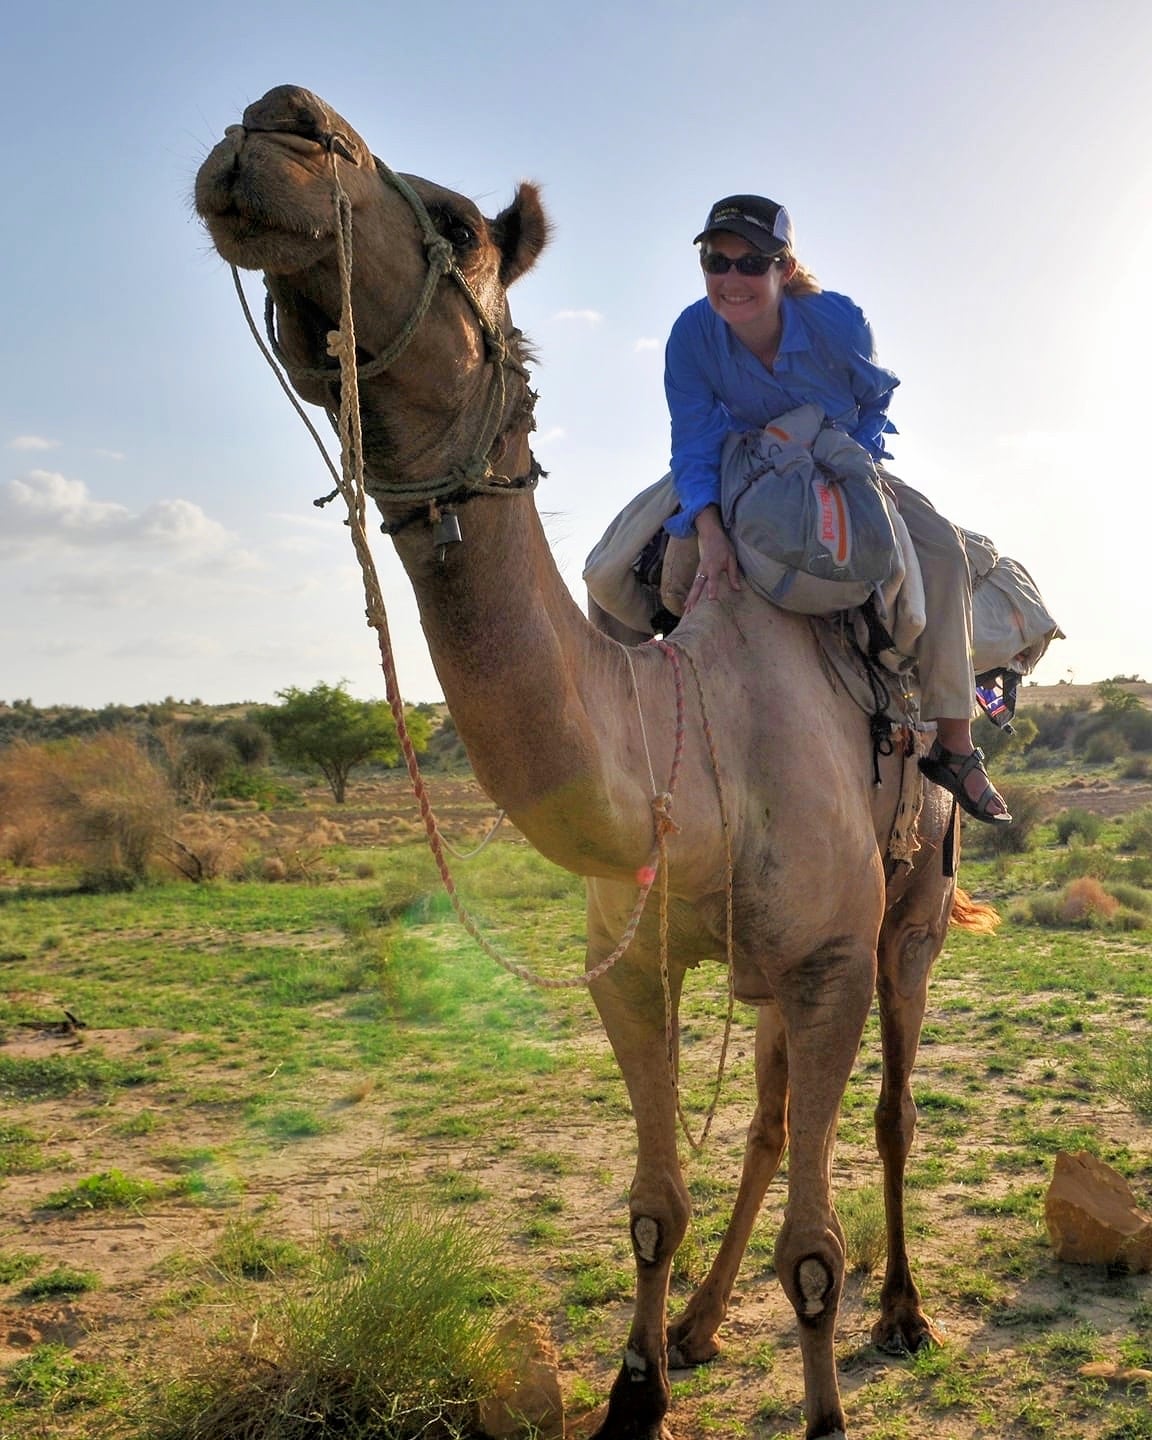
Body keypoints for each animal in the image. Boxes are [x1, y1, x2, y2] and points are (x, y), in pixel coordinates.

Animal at [192, 84, 996, 1434]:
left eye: (461, 222)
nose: (279, 123)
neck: (700, 742)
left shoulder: (832, 956)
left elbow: (816, 1250)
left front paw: (826, 1400)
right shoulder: (632, 962)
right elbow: (651, 1206)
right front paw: (639, 1384)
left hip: (913, 908)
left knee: (888, 1114)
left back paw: (905, 1311)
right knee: (770, 1117)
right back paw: (706, 1323)